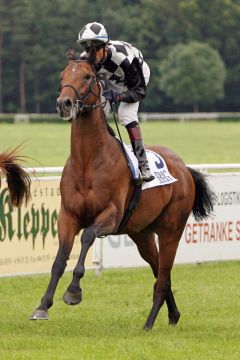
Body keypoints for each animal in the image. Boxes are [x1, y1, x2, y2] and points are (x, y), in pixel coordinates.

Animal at [29, 55, 215, 330]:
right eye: (62, 75)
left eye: (87, 76)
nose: (64, 103)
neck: (88, 161)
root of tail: (183, 168)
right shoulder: (68, 215)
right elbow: (59, 260)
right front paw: (42, 306)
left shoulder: (111, 216)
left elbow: (87, 237)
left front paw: (74, 291)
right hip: (142, 234)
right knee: (160, 272)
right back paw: (173, 314)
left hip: (171, 229)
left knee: (163, 277)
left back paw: (148, 323)